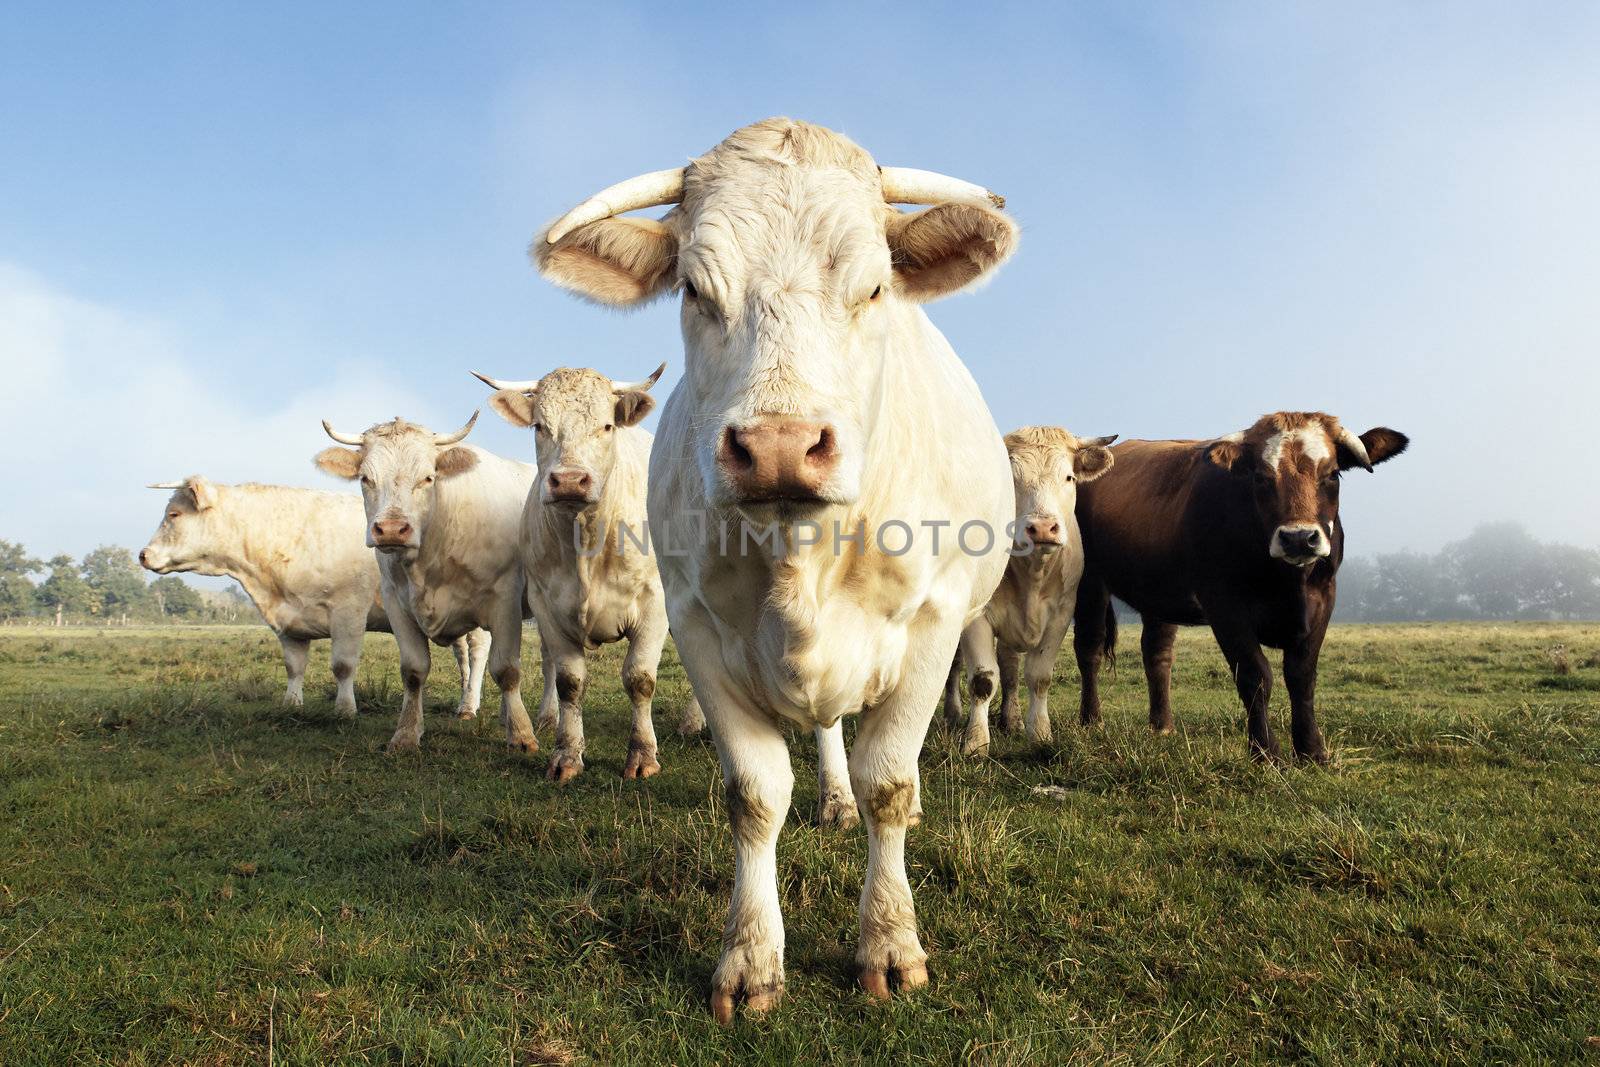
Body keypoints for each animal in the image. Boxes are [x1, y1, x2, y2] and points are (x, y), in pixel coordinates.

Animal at [137, 479, 486, 723]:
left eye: (174, 514)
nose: (143, 555)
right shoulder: (288, 622)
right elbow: (294, 666)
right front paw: (292, 705)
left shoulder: (348, 611)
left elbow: (343, 666)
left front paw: (345, 710)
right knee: (462, 656)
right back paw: (464, 700)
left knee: (478, 653)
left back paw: (469, 706)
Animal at [310, 412, 537, 755]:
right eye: (365, 478)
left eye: (428, 478)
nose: (391, 529)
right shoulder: (396, 603)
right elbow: (414, 671)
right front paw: (406, 734)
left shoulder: (504, 600)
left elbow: (507, 669)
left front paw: (522, 735)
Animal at [534, 119, 1011, 1023]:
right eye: (693, 289)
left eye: (874, 287)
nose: (782, 446)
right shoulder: (695, 627)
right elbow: (754, 795)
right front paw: (751, 957)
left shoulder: (933, 625)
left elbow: (890, 782)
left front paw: (889, 941)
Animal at [947, 428, 1113, 755]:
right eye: (1011, 479)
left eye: (1069, 477)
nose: (1043, 528)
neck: (1031, 574)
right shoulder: (976, 618)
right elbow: (983, 680)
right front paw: (975, 743)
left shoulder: (1061, 615)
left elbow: (1039, 678)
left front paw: (1040, 734)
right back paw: (952, 713)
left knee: (1009, 667)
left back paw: (1011, 720)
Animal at [1075, 412, 1401, 764]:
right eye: (1261, 477)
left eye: (1332, 474)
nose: (1299, 538)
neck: (1288, 582)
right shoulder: (1224, 605)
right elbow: (1254, 676)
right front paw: (1265, 751)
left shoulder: (1324, 598)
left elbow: (1301, 677)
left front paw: (1312, 751)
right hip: (1089, 583)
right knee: (1090, 649)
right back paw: (1091, 721)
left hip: (1158, 592)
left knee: (1157, 653)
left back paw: (1162, 725)